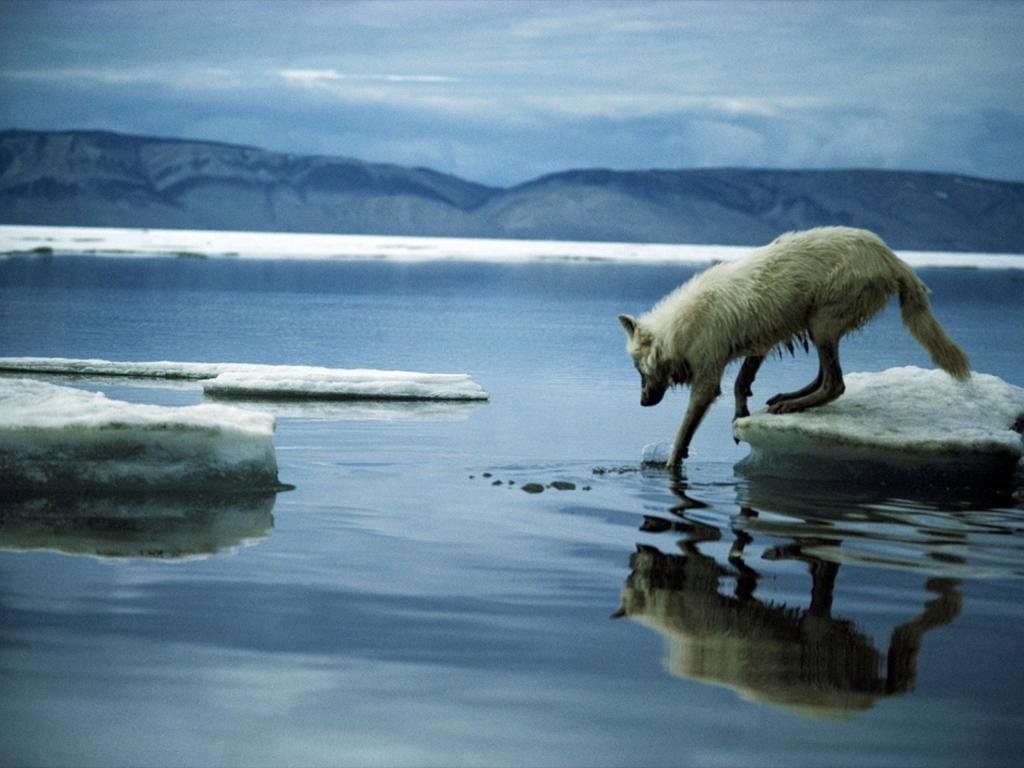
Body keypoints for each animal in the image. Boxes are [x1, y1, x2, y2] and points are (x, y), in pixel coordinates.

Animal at [619, 226, 971, 470]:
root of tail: (892, 257)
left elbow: (684, 431)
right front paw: (740, 415)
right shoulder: (757, 345)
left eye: (639, 369)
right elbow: (741, 383)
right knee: (825, 376)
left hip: (822, 323)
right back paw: (788, 398)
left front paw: (671, 464)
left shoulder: (707, 378)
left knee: (835, 383)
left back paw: (792, 404)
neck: (679, 329)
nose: (642, 402)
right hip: (816, 326)